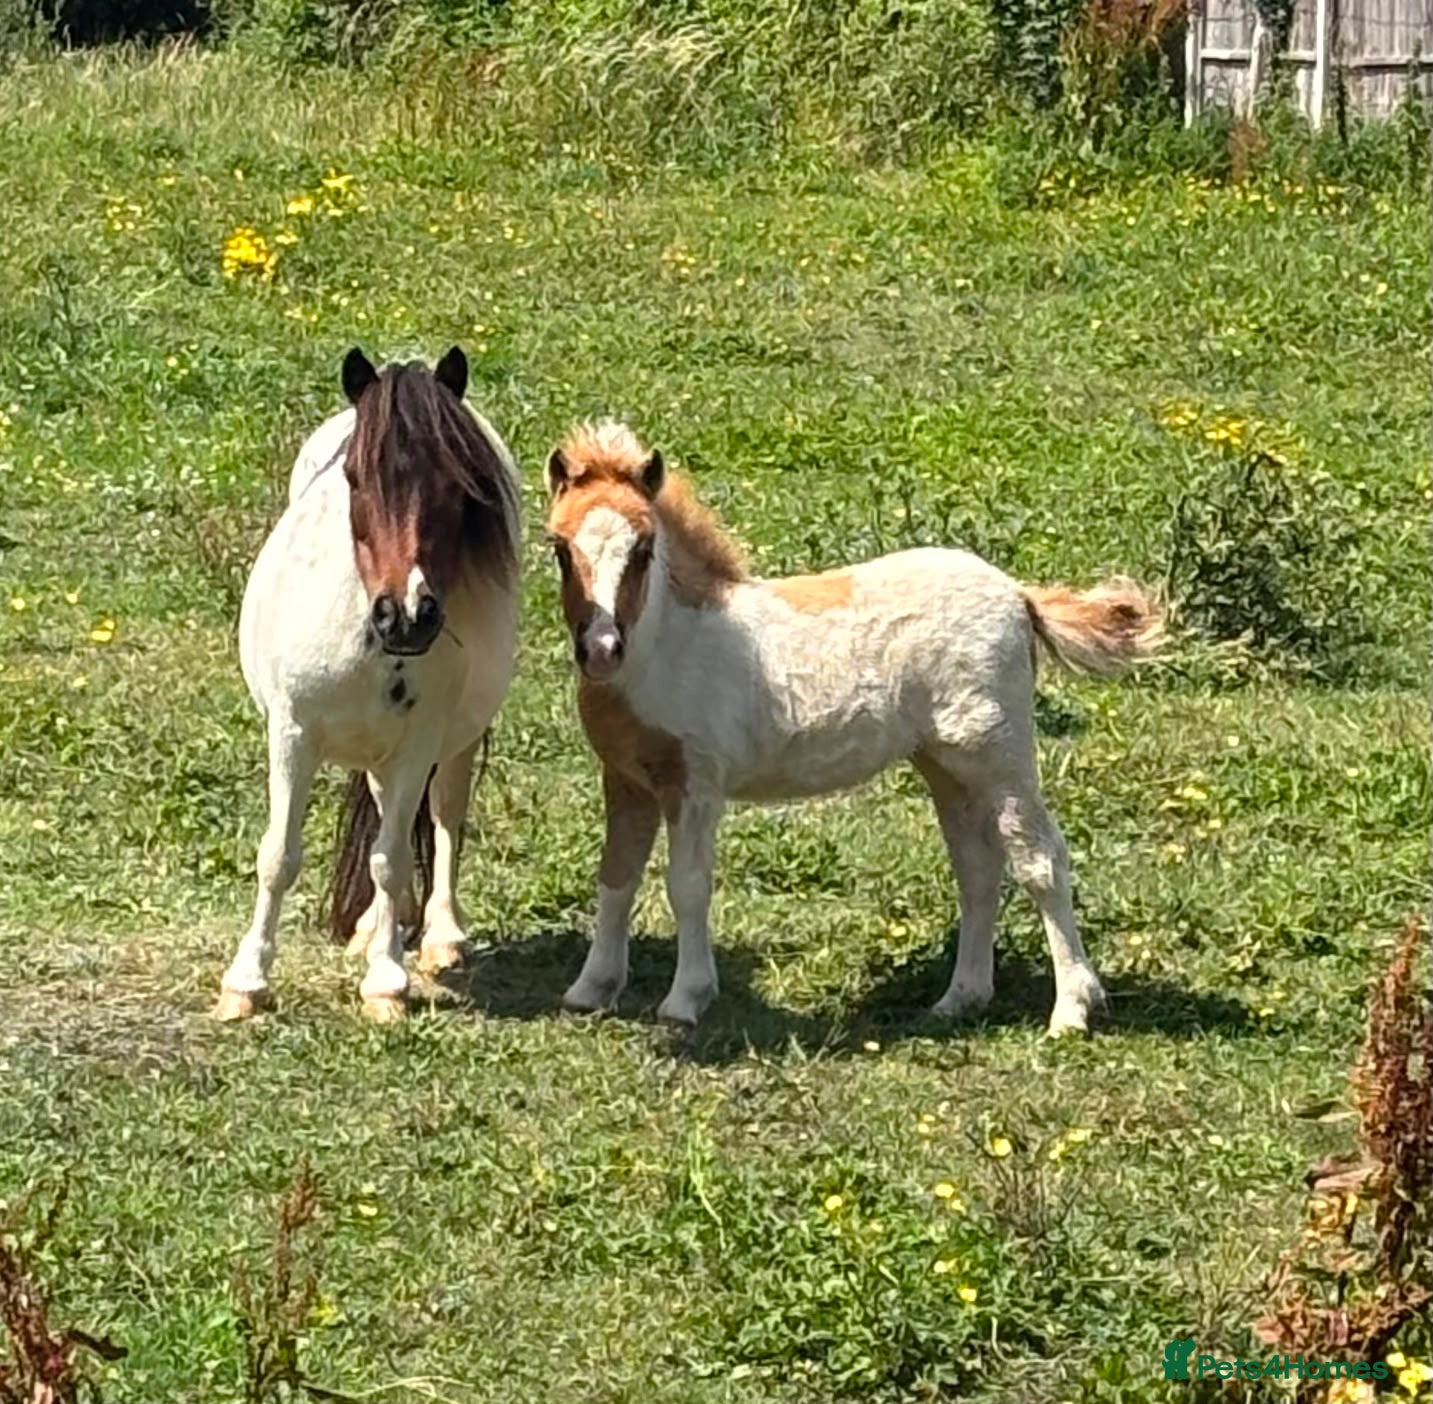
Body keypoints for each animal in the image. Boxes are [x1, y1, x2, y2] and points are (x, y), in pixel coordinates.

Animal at [214, 347, 521, 1023]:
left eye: (458, 485)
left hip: (452, 743)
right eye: (354, 477)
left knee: (444, 816)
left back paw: (437, 936)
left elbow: (391, 856)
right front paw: (246, 981)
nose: (406, 614)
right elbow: (278, 857)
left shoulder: (416, 747)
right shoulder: (292, 734)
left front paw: (386, 980)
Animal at [544, 421, 1162, 1035]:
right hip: (944, 763)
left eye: (643, 549)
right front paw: (590, 989)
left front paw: (686, 1001)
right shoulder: (626, 779)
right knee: (978, 867)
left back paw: (1072, 1010)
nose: (601, 649)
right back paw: (959, 998)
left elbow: (687, 887)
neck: (670, 650)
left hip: (998, 755)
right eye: (560, 548)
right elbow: (616, 875)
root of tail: (1016, 593)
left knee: (1041, 861)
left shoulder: (694, 783)